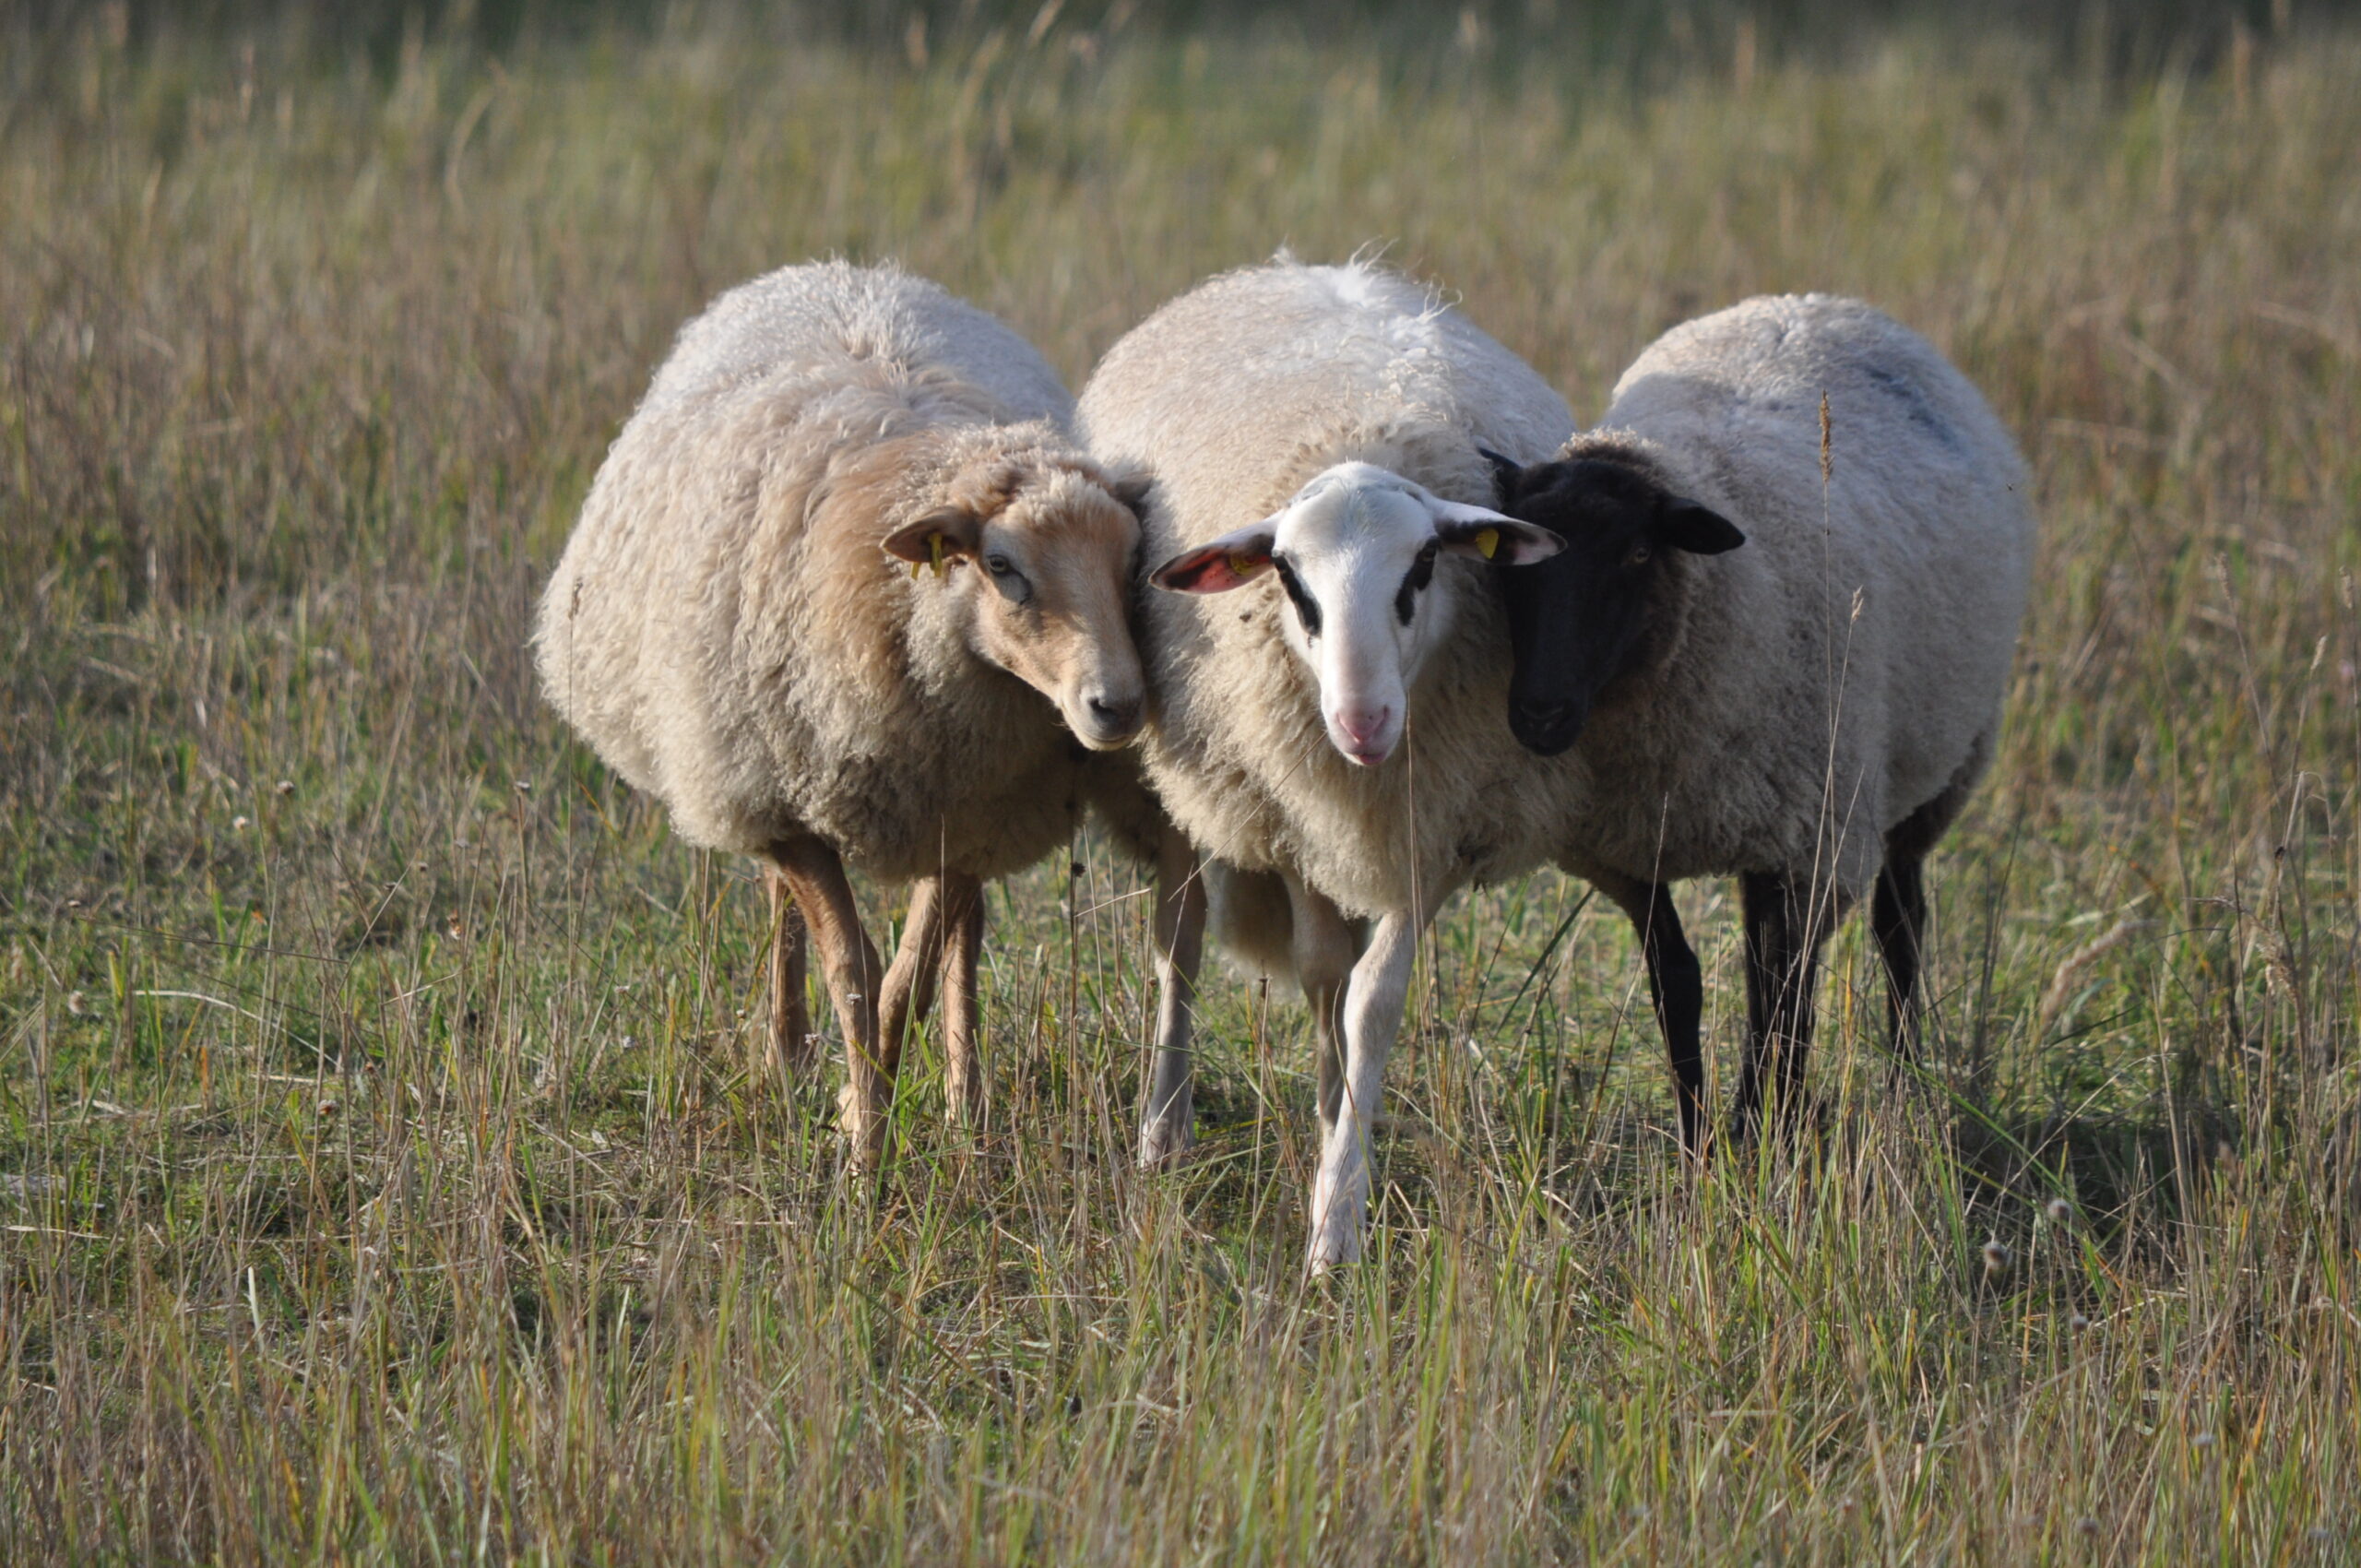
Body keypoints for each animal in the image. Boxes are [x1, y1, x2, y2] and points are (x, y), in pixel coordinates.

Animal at [540, 259, 1199, 1161]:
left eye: (1132, 560)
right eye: (1002, 566)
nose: (1119, 705)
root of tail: (841, 272)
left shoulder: (970, 809)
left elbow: (909, 975)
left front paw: (870, 1105)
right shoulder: (791, 806)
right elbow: (851, 971)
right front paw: (863, 1141)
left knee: (964, 938)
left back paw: (963, 1098)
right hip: (752, 764)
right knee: (781, 902)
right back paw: (786, 1057)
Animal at [1491, 293, 2030, 1147]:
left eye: (1638, 556)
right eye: (1504, 560)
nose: (1540, 713)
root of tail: (1817, 301)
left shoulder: (1813, 843)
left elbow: (1782, 993)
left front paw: (1765, 1126)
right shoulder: (1632, 849)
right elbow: (1679, 980)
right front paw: (1699, 1136)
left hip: (1937, 767)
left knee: (1899, 924)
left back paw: (1906, 1083)